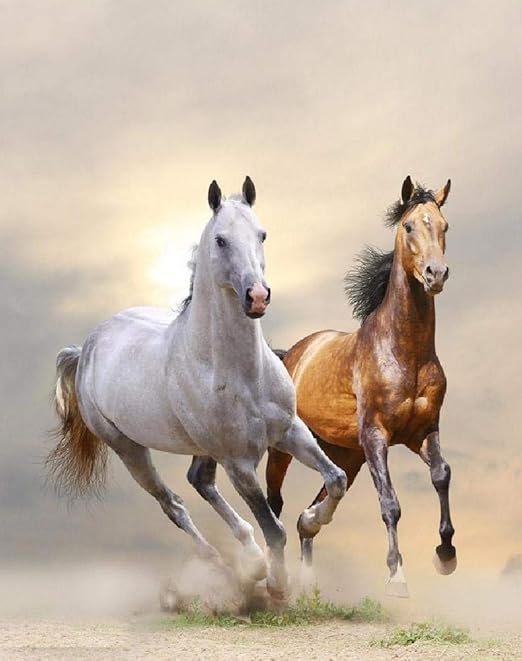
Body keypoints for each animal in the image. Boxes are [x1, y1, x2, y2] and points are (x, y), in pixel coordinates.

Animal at [47, 177, 347, 598]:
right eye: (221, 240)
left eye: (262, 234)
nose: (257, 297)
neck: (241, 373)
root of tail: (86, 347)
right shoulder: (239, 463)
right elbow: (274, 528)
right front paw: (277, 585)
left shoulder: (289, 431)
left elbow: (337, 479)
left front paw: (311, 521)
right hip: (129, 449)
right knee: (172, 503)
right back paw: (229, 566)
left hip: (203, 448)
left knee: (199, 481)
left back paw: (251, 561)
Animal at [266, 176, 456, 597]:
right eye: (409, 226)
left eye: (444, 225)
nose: (435, 274)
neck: (404, 351)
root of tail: (290, 355)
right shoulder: (376, 437)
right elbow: (390, 503)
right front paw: (397, 576)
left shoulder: (423, 430)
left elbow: (442, 474)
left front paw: (446, 554)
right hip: (285, 449)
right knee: (274, 504)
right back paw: (276, 577)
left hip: (346, 454)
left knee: (312, 508)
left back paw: (310, 563)